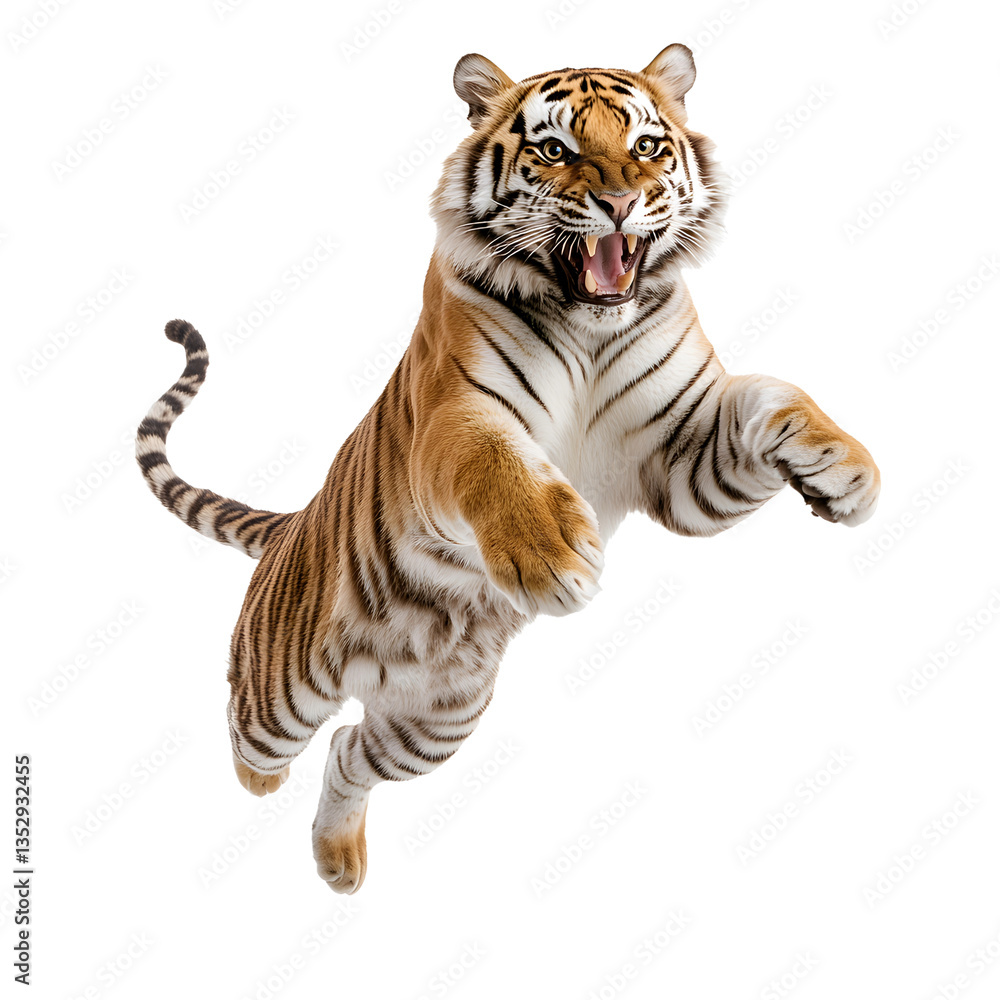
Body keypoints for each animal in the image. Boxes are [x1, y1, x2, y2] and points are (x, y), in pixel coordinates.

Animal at [136, 44, 880, 894]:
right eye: (556, 150)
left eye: (647, 146)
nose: (621, 202)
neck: (592, 326)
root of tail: (292, 525)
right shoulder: (455, 412)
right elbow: (491, 456)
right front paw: (553, 553)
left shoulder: (683, 460)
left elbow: (776, 394)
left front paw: (847, 471)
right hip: (281, 692)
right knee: (252, 732)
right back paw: (260, 783)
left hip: (435, 721)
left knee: (350, 751)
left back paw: (340, 863)